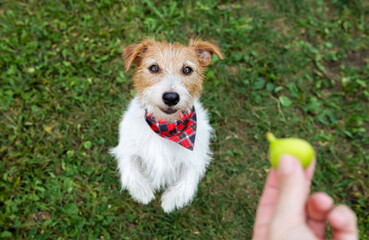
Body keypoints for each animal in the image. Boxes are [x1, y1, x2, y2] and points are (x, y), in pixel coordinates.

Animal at [110, 38, 223, 212]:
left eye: (187, 69)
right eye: (154, 68)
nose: (171, 97)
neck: (166, 127)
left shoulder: (195, 157)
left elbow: (188, 181)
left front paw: (171, 201)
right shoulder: (127, 148)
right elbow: (130, 170)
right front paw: (143, 192)